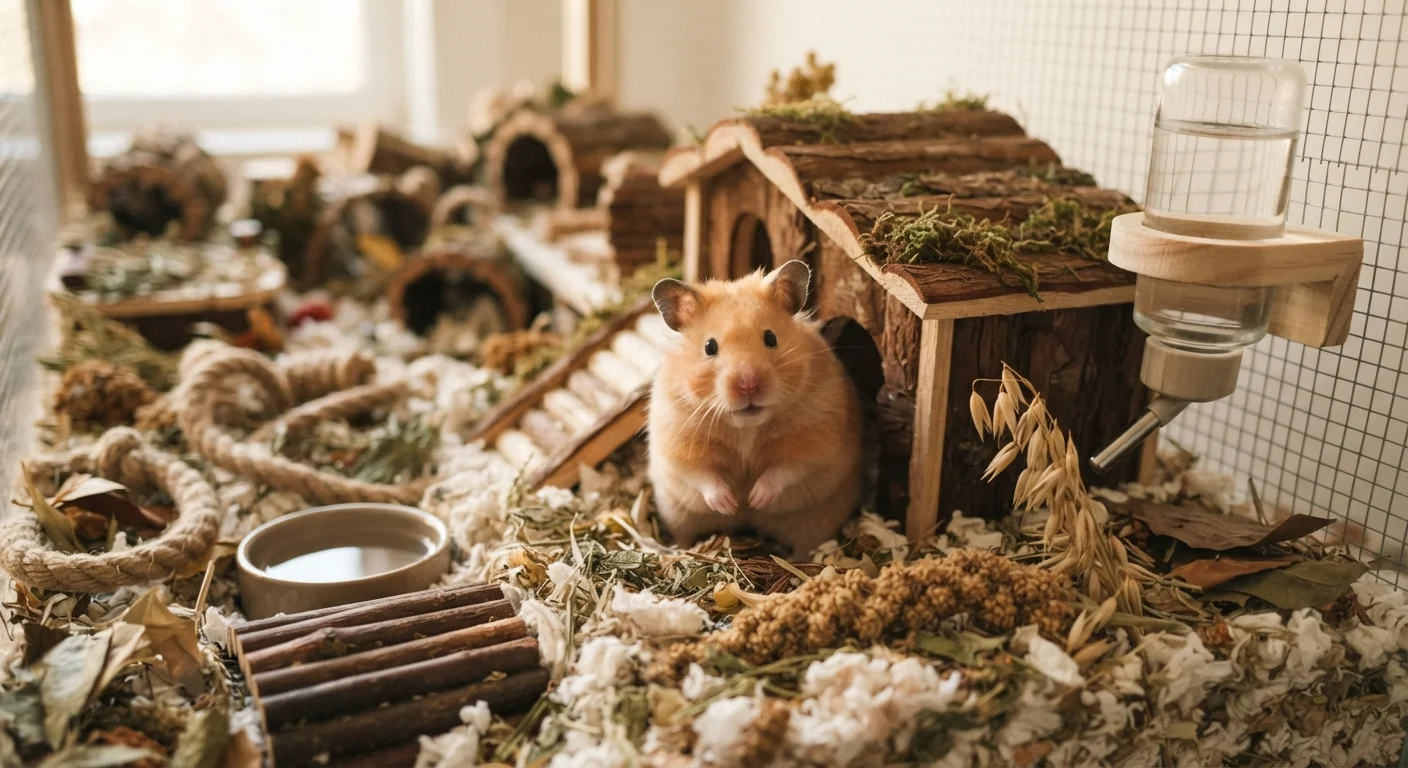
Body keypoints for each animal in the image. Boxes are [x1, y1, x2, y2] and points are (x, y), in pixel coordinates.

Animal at [647, 260, 862, 558]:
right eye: (709, 347)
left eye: (770, 338)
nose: (748, 383)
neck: (746, 427)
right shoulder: (678, 441)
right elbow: (703, 475)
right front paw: (731, 504)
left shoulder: (816, 439)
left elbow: (786, 469)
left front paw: (755, 499)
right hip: (679, 514)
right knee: (684, 534)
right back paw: (681, 549)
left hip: (815, 520)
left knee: (806, 545)